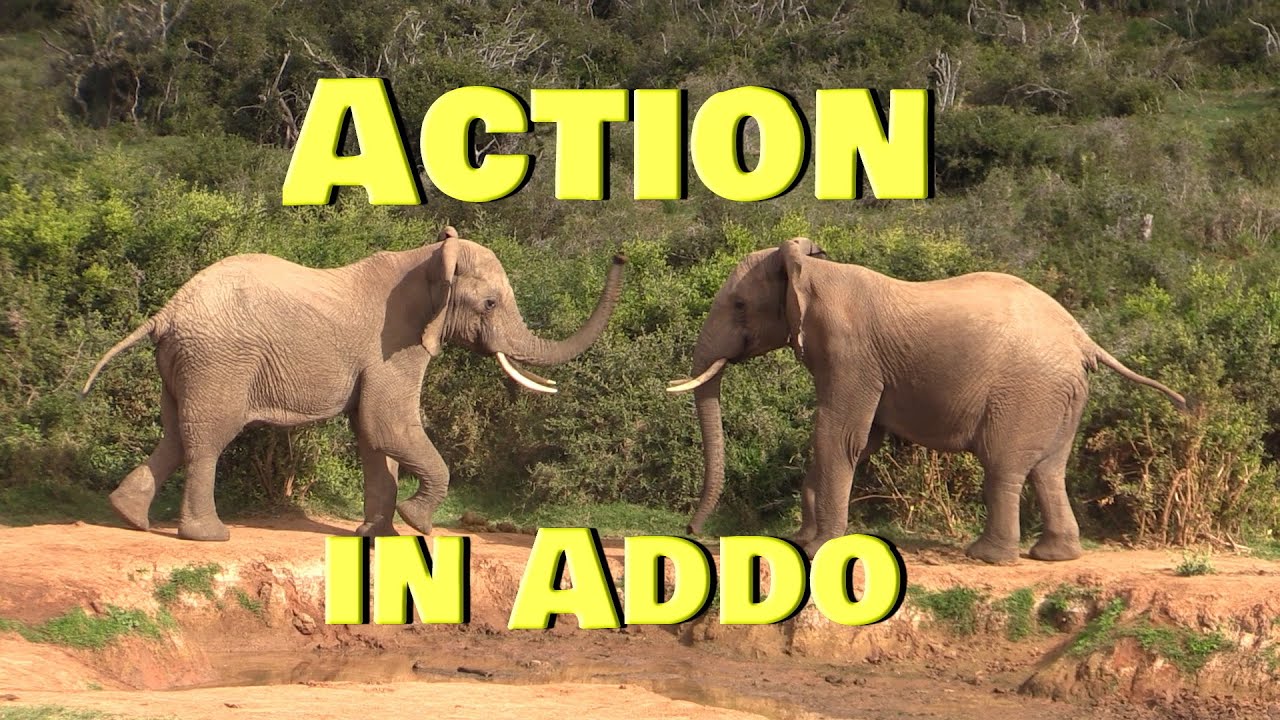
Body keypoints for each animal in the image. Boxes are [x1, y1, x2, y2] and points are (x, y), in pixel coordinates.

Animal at [81, 226, 626, 542]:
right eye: (490, 304)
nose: (620, 256)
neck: (428, 257)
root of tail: (165, 313)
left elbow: (371, 435)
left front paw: (377, 535)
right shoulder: (395, 345)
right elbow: (388, 425)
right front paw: (417, 523)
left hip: (187, 361)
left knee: (176, 432)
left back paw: (129, 517)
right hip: (218, 359)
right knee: (210, 435)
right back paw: (209, 537)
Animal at [666, 237, 1187, 564]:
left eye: (738, 305)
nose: (693, 531)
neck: (811, 268)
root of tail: (1083, 338)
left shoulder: (849, 352)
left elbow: (838, 434)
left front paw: (817, 549)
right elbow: (859, 439)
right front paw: (802, 539)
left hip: (1027, 390)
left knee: (1004, 465)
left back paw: (988, 557)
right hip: (1062, 394)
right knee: (1048, 469)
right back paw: (1053, 556)